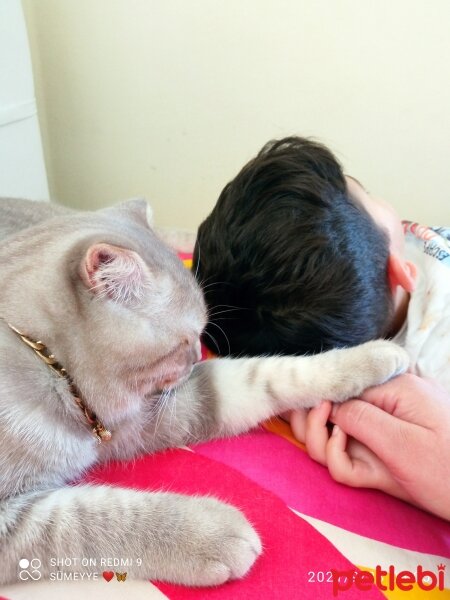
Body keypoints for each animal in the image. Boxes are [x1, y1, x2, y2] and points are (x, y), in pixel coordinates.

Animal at [0, 197, 408, 584]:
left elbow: (270, 374)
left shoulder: (155, 411)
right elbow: (89, 521)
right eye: (184, 341)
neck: (52, 368)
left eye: (199, 338)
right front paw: (207, 534)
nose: (198, 355)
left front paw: (372, 358)